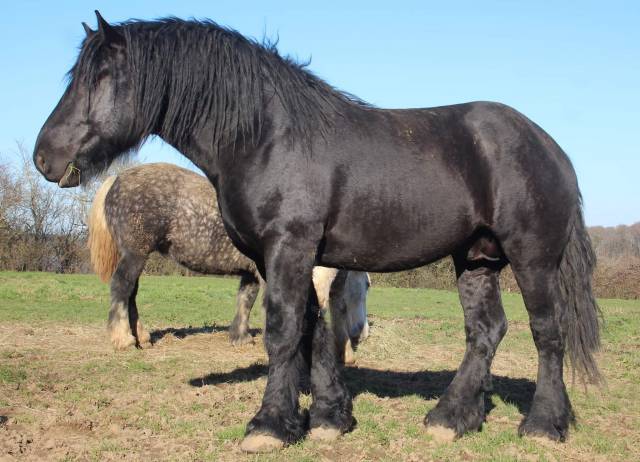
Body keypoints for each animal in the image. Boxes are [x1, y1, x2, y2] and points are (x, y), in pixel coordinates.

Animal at [32, 12, 600, 452]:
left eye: (102, 76)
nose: (44, 157)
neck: (267, 137)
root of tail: (548, 146)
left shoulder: (289, 247)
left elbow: (283, 332)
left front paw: (269, 426)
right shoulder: (292, 257)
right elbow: (314, 329)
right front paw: (329, 418)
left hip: (532, 258)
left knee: (547, 332)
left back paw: (544, 425)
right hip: (476, 259)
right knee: (485, 331)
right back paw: (451, 419)